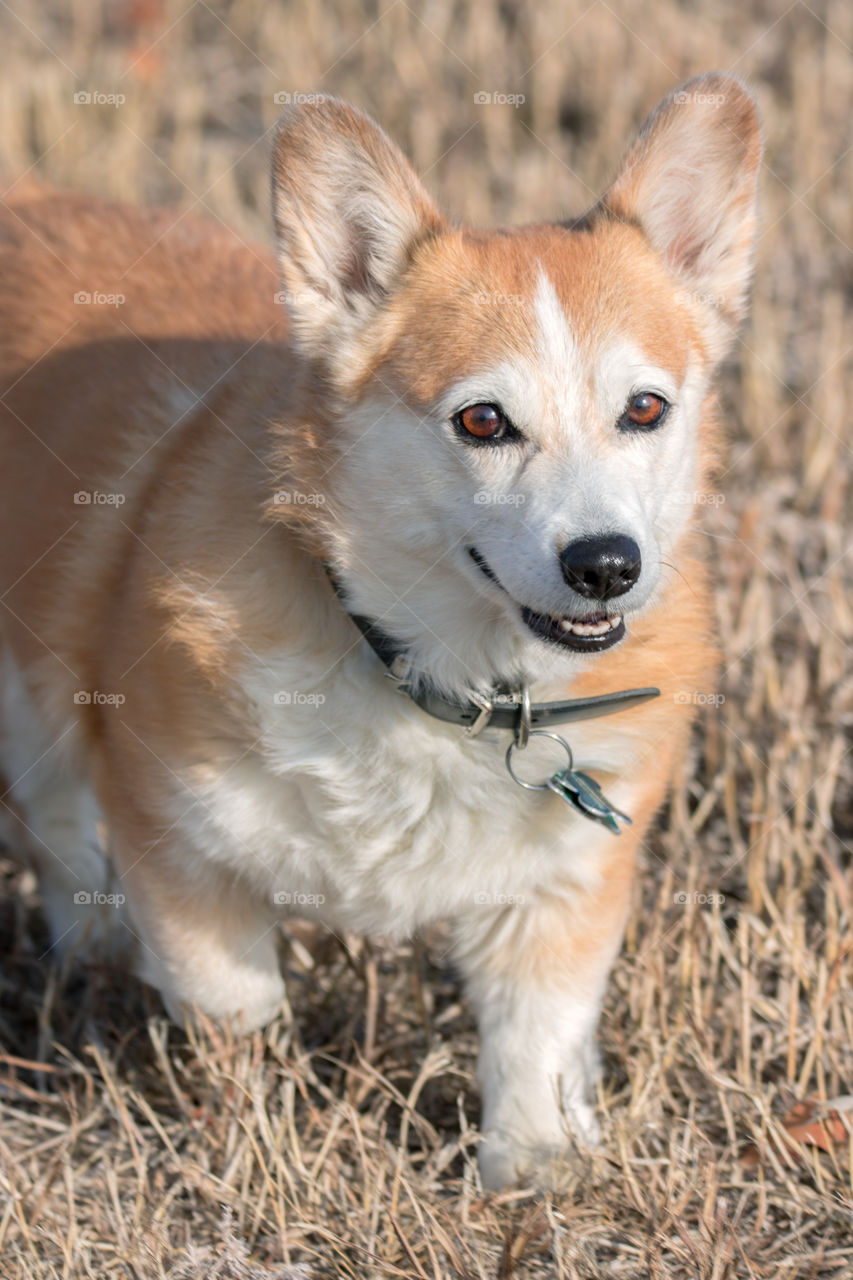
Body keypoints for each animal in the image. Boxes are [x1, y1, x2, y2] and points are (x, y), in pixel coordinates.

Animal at [0, 72, 758, 1187]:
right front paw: (252, 1153)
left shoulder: (565, 887)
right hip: (35, 707)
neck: (433, 678)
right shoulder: (177, 848)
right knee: (53, 819)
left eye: (645, 408)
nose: (607, 565)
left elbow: (534, 1033)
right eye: (482, 420)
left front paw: (533, 1170)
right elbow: (234, 1014)